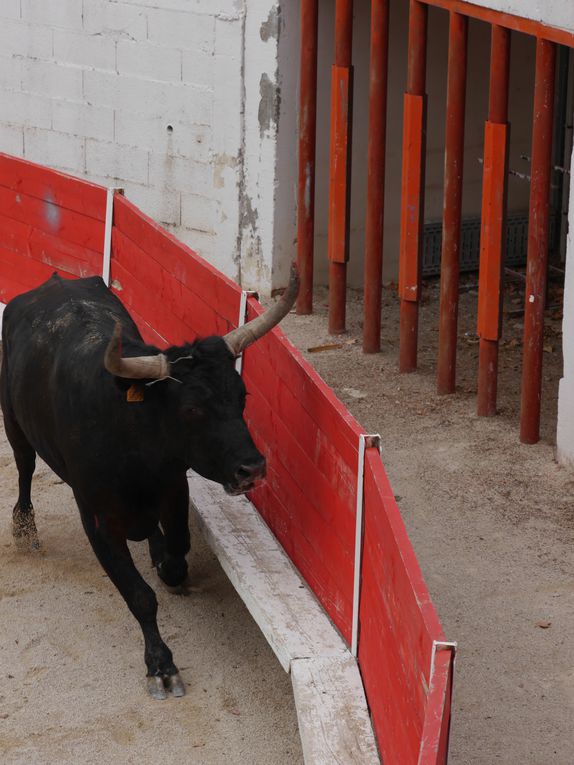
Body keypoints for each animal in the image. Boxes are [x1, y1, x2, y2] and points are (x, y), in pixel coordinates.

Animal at [3, 270, 302, 700]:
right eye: (192, 408)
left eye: (242, 396)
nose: (253, 469)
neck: (134, 441)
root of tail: (51, 282)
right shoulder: (98, 521)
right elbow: (140, 596)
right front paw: (161, 666)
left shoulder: (174, 491)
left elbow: (177, 554)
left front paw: (165, 564)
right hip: (12, 418)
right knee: (25, 466)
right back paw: (24, 530)